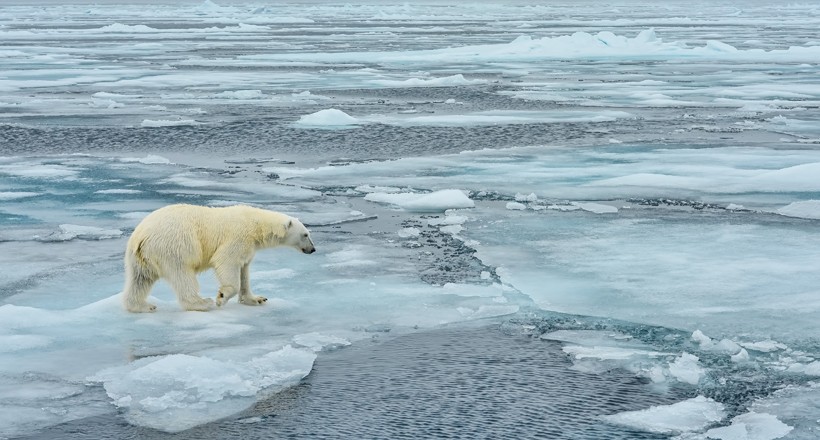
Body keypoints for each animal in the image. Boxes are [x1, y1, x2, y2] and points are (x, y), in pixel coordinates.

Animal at [123, 204, 316, 312]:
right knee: (182, 274)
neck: (256, 224)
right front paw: (221, 296)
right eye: (305, 234)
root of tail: (141, 235)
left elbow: (244, 271)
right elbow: (226, 261)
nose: (313, 249)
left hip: (141, 256)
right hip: (174, 245)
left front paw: (257, 299)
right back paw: (201, 303)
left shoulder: (249, 247)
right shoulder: (238, 237)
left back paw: (142, 306)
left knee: (140, 279)